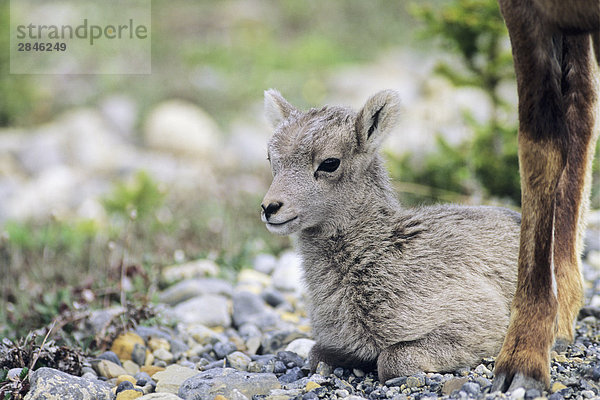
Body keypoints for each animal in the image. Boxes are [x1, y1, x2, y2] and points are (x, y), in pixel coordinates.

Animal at [262, 89, 520, 382]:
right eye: (271, 160)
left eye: (329, 163)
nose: (269, 207)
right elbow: (316, 355)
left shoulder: (481, 324)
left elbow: (391, 360)